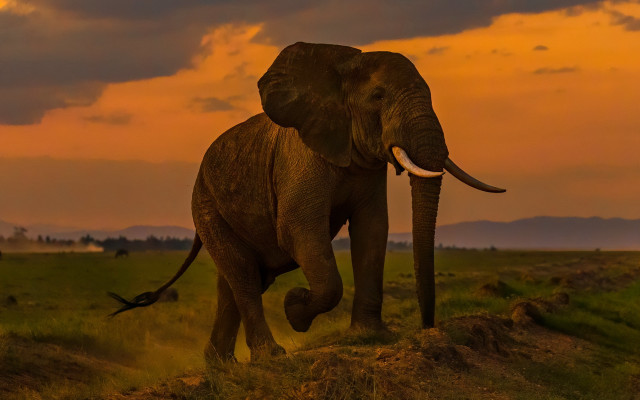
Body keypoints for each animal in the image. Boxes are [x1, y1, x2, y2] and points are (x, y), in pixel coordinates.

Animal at [109, 42, 505, 362]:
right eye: (378, 97)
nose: (427, 328)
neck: (342, 65)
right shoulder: (300, 159)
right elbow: (299, 230)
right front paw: (295, 310)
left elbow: (373, 231)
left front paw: (371, 336)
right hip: (206, 207)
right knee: (244, 277)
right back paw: (269, 356)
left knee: (234, 281)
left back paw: (221, 366)